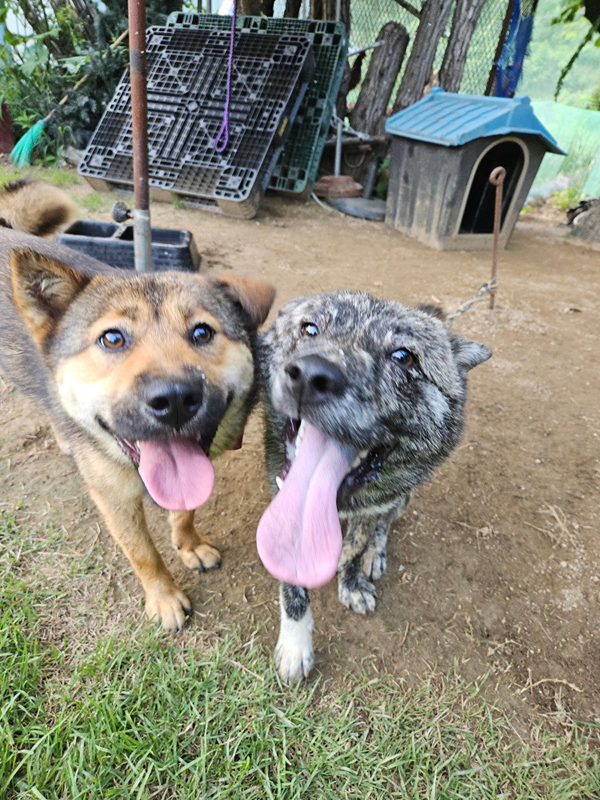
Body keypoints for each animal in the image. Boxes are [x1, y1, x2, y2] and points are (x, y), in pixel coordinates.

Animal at [0, 183, 274, 632]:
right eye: (112, 339)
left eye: (202, 332)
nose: (174, 400)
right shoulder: (112, 495)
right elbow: (142, 552)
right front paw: (163, 598)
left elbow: (185, 511)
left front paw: (188, 545)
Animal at [258, 292, 492, 680]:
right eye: (309, 329)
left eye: (403, 356)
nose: (309, 375)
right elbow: (293, 586)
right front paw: (295, 645)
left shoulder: (372, 508)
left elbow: (354, 549)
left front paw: (352, 581)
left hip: (401, 498)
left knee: (384, 526)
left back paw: (376, 554)